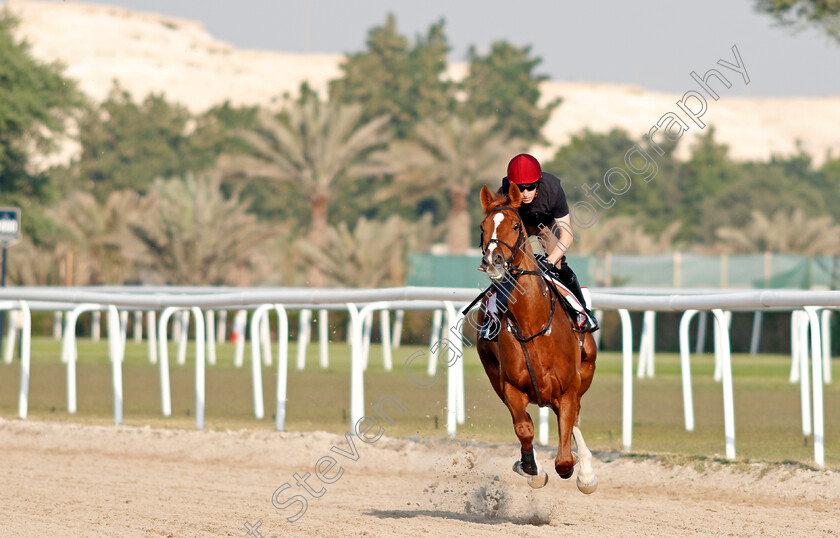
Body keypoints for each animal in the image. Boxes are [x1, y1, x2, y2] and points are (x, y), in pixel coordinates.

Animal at [472, 183, 596, 490]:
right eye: (482, 227)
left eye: (516, 225)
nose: (493, 261)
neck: (532, 322)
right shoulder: (510, 386)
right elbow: (524, 427)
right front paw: (530, 467)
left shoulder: (568, 388)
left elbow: (564, 456)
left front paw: (579, 470)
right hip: (494, 375)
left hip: (585, 372)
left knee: (575, 418)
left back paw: (587, 472)